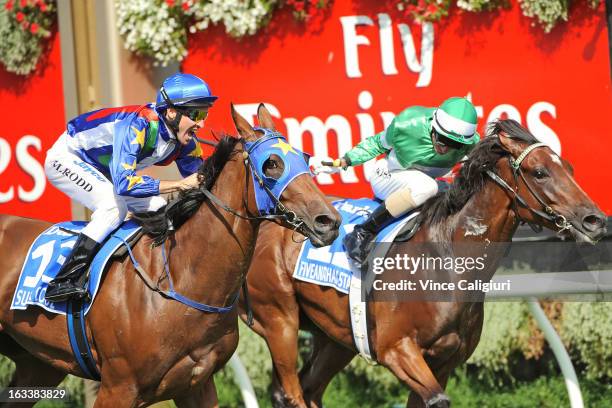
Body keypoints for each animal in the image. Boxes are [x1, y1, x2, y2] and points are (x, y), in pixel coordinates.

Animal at [0, 104, 344, 404]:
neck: (179, 278)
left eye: (304, 158)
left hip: (37, 366)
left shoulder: (196, 384)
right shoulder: (118, 387)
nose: (329, 221)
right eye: (272, 163)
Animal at [239, 118, 608, 408]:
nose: (595, 220)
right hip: (279, 319)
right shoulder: (396, 349)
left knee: (310, 388)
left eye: (569, 168)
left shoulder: (443, 362)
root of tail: (268, 220)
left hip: (335, 336)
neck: (447, 265)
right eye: (540, 172)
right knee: (289, 391)